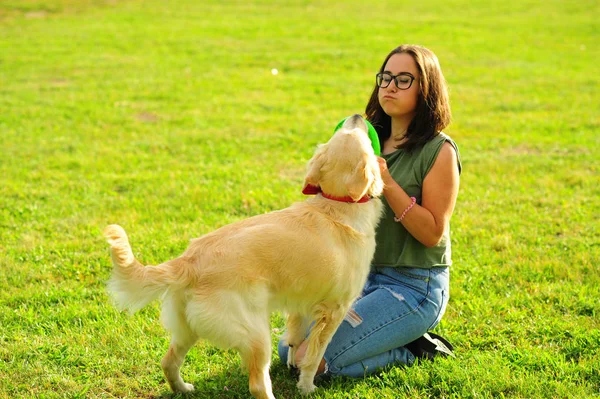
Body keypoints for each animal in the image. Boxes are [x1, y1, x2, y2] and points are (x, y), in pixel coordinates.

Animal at [103, 114, 384, 398]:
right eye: (360, 136)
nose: (357, 116)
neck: (336, 205)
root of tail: (189, 261)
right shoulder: (334, 311)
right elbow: (314, 356)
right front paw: (306, 386)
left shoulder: (301, 302)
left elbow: (294, 340)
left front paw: (293, 363)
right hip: (256, 335)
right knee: (257, 383)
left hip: (187, 329)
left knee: (168, 361)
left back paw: (182, 388)